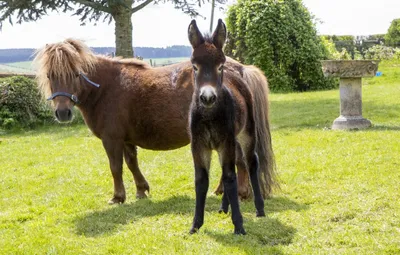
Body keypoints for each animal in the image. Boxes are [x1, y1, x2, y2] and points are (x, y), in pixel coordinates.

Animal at [33, 38, 276, 205]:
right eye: (50, 75)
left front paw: (118, 197)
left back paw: (242, 194)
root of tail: (240, 69)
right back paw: (222, 190)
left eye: (75, 74)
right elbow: (132, 163)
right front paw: (141, 190)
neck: (106, 88)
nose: (63, 112)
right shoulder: (126, 139)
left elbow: (116, 167)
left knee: (240, 162)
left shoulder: (112, 139)